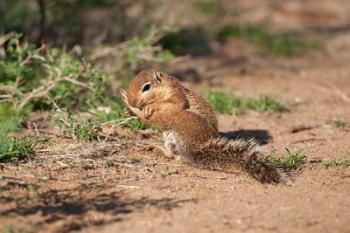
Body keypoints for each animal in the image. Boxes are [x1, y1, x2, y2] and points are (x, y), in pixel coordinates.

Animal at [121, 68, 280, 182]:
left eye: (146, 87)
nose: (133, 101)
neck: (165, 86)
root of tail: (196, 147)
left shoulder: (177, 97)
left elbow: (170, 104)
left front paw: (143, 107)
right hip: (169, 137)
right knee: (174, 155)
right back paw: (157, 149)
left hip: (180, 118)